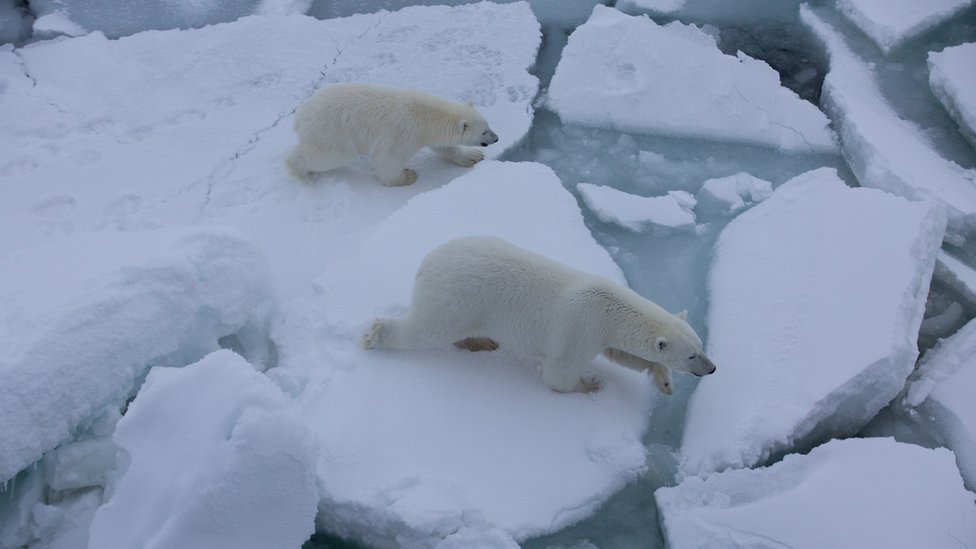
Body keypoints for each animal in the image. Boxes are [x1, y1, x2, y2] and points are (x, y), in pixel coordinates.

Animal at [282, 83, 496, 186]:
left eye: (488, 124)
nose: (496, 138)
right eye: (484, 131)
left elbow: (445, 148)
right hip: (333, 135)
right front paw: (407, 176)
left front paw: (473, 156)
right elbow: (388, 161)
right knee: (325, 157)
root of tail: (299, 118)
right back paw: (303, 174)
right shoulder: (401, 134)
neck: (425, 116)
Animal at [362, 235, 712, 394]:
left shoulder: (603, 333)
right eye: (691, 356)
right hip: (456, 298)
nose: (712, 368)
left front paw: (663, 381)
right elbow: (559, 376)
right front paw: (591, 384)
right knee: (426, 328)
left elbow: (623, 354)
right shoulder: (579, 330)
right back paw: (374, 334)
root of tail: (427, 263)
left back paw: (482, 342)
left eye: (700, 347)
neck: (608, 308)